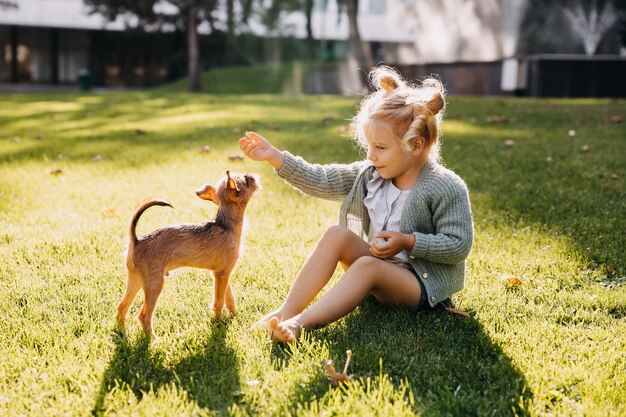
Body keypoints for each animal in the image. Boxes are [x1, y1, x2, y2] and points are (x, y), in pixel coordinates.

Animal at [116, 171, 258, 336]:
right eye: (247, 180)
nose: (252, 175)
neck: (226, 225)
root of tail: (136, 240)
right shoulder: (222, 275)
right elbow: (219, 302)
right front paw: (218, 323)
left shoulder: (222, 273)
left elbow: (229, 299)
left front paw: (234, 316)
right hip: (155, 284)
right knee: (143, 316)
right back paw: (153, 339)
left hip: (137, 280)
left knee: (121, 307)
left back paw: (121, 332)